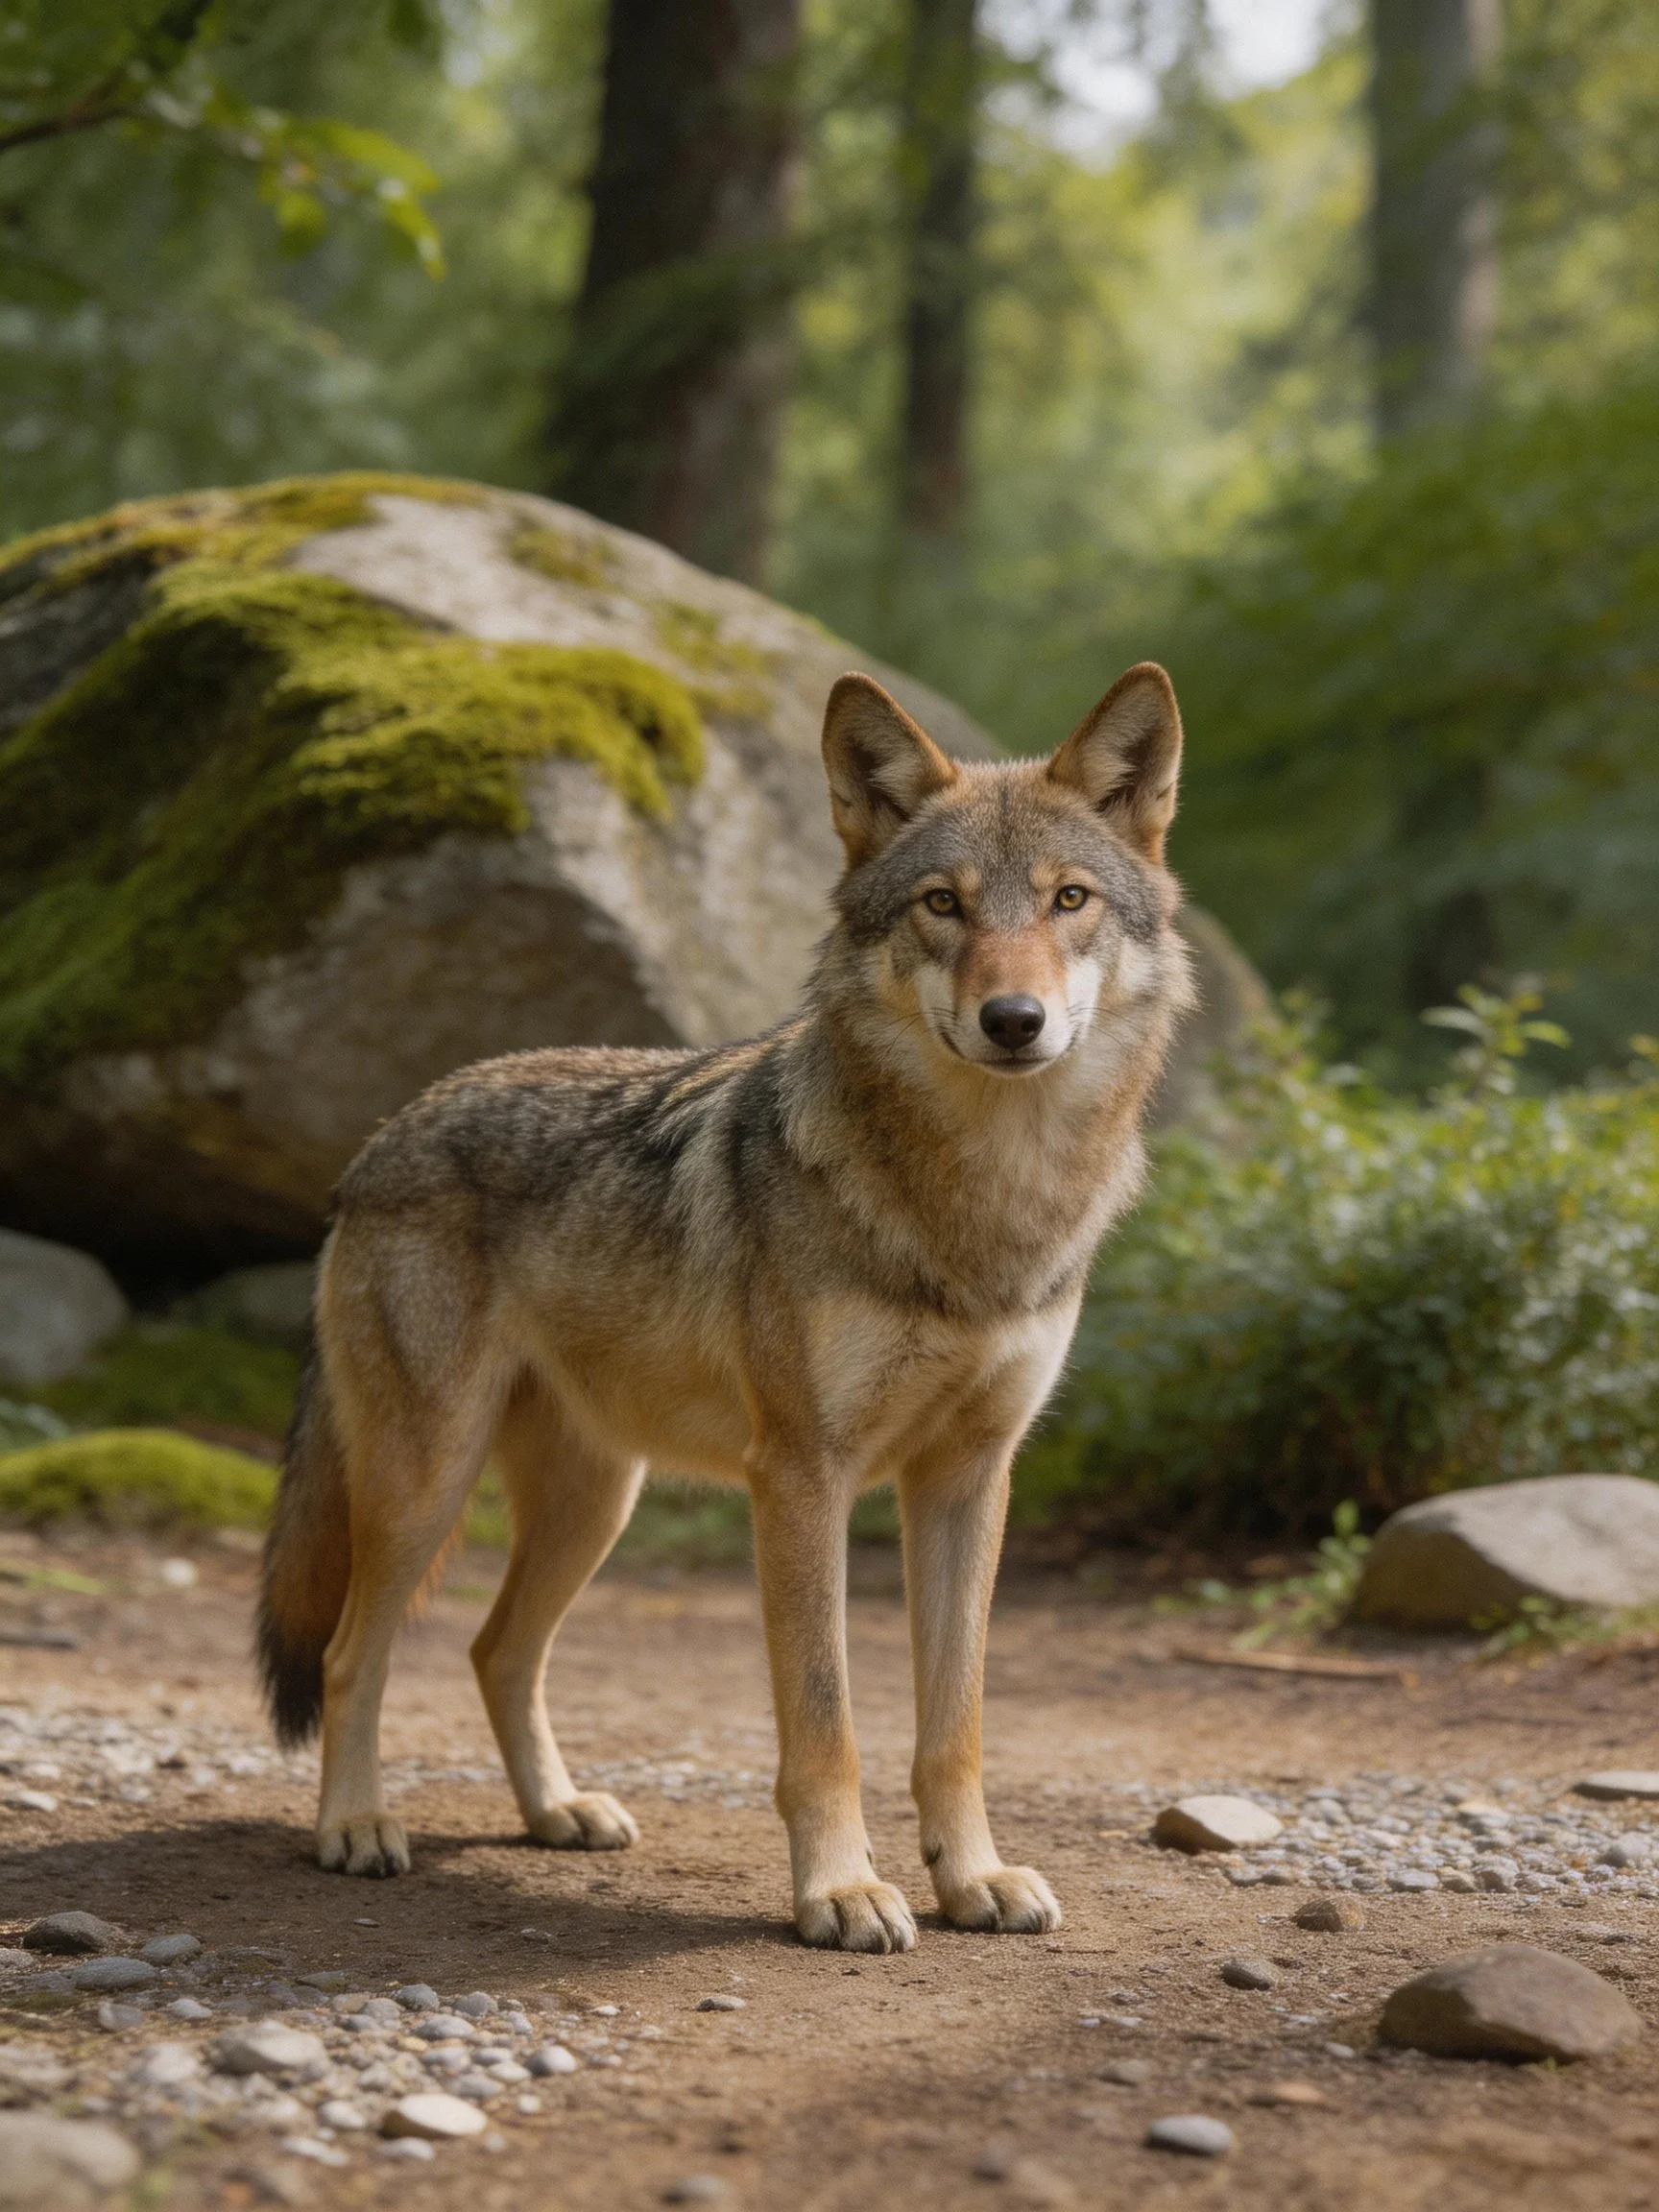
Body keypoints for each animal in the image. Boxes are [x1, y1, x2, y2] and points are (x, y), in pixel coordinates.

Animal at [257, 661, 1193, 1953]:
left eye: (1069, 900)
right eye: (942, 905)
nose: (1015, 1021)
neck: (980, 1209)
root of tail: (380, 1138)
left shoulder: (969, 1477)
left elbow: (953, 1726)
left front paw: (973, 1879)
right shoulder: (801, 1476)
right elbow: (826, 1723)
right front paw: (842, 1892)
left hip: (597, 1503)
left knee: (499, 1651)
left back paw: (558, 1814)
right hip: (425, 1485)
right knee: (357, 1652)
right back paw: (354, 1827)